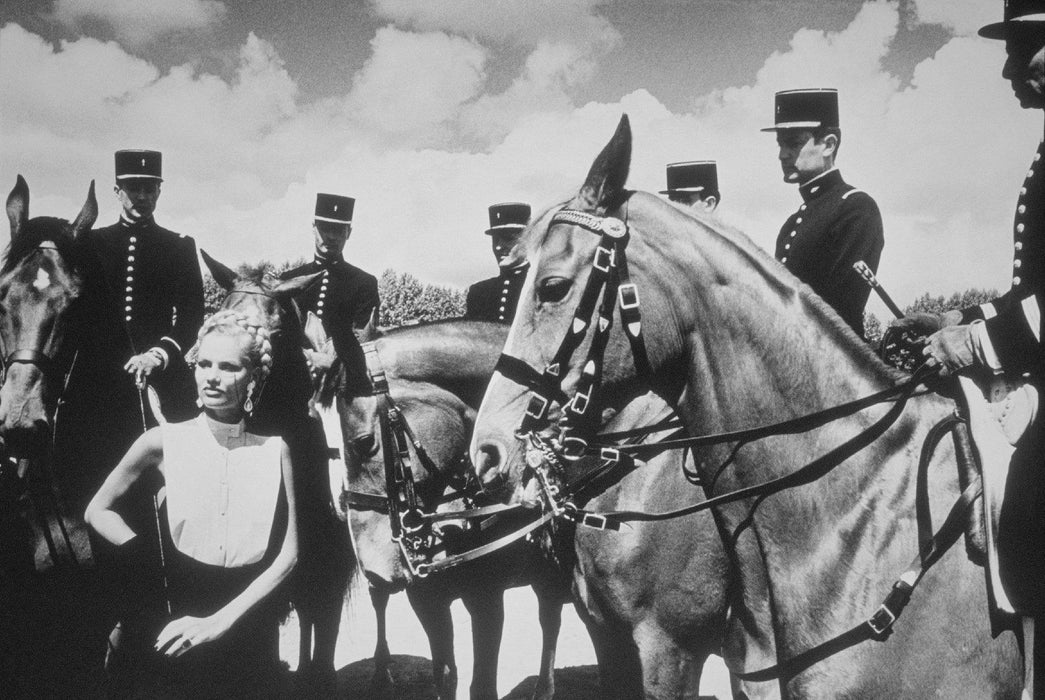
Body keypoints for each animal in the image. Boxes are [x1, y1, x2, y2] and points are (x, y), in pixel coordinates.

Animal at [199, 252, 355, 697]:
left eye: (278, 331)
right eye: (219, 317)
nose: (228, 379)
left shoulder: (331, 570)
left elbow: (324, 629)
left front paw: (317, 678)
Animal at [336, 319, 572, 700]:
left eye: (364, 443)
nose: (373, 568)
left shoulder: (489, 597)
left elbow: (483, 684)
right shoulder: (427, 599)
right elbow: (445, 677)